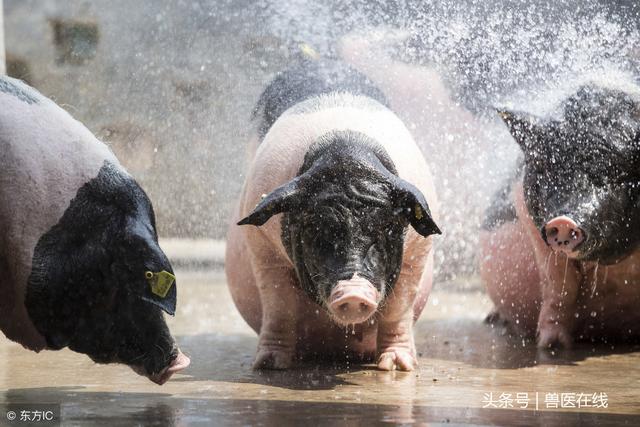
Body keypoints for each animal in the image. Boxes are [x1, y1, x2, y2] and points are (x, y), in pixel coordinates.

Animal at [225, 59, 440, 372]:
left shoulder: (417, 253)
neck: (347, 153)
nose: (354, 292)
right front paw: (268, 366)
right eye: (317, 229)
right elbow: (279, 306)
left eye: (386, 228)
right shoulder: (263, 248)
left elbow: (398, 310)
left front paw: (398, 367)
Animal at [482, 82, 640, 350]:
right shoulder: (531, 222)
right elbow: (559, 287)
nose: (564, 220)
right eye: (545, 167)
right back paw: (492, 320)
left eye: (617, 172)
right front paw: (551, 346)